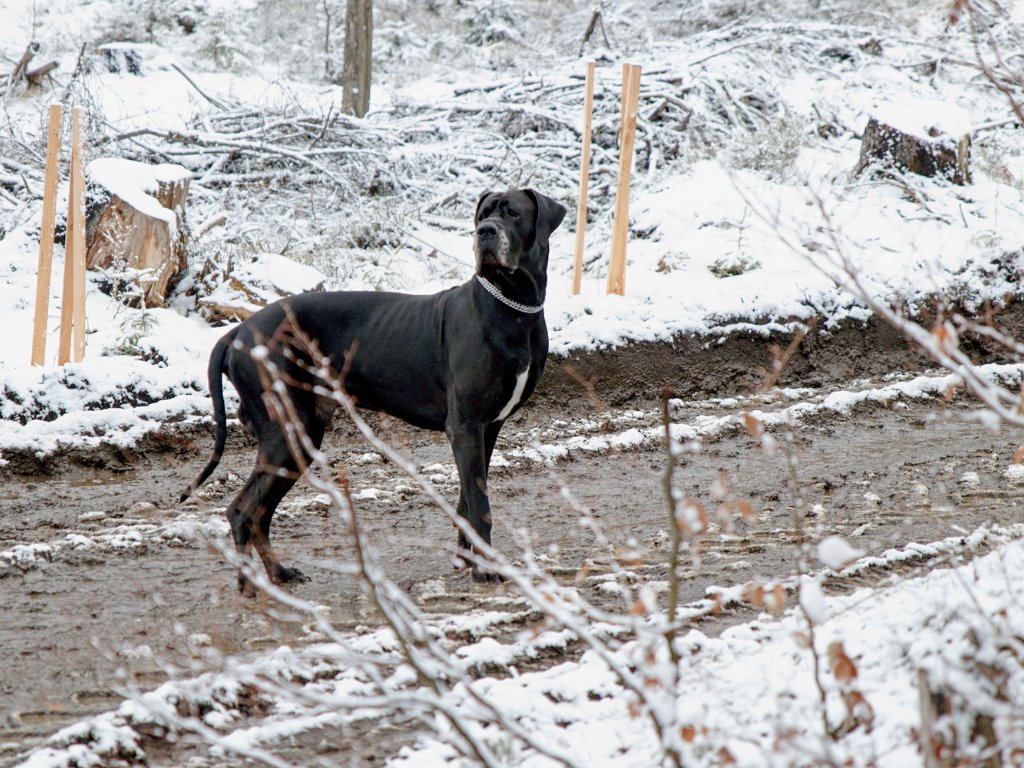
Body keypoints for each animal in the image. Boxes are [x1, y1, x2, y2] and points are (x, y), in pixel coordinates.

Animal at [180, 189, 565, 593]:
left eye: (513, 213)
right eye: (482, 215)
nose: (485, 232)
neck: (514, 309)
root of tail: (236, 331)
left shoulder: (485, 430)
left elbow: (468, 499)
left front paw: (466, 560)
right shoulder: (466, 426)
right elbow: (480, 506)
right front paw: (485, 570)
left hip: (301, 436)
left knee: (259, 512)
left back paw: (279, 573)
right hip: (287, 431)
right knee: (242, 509)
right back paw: (253, 584)